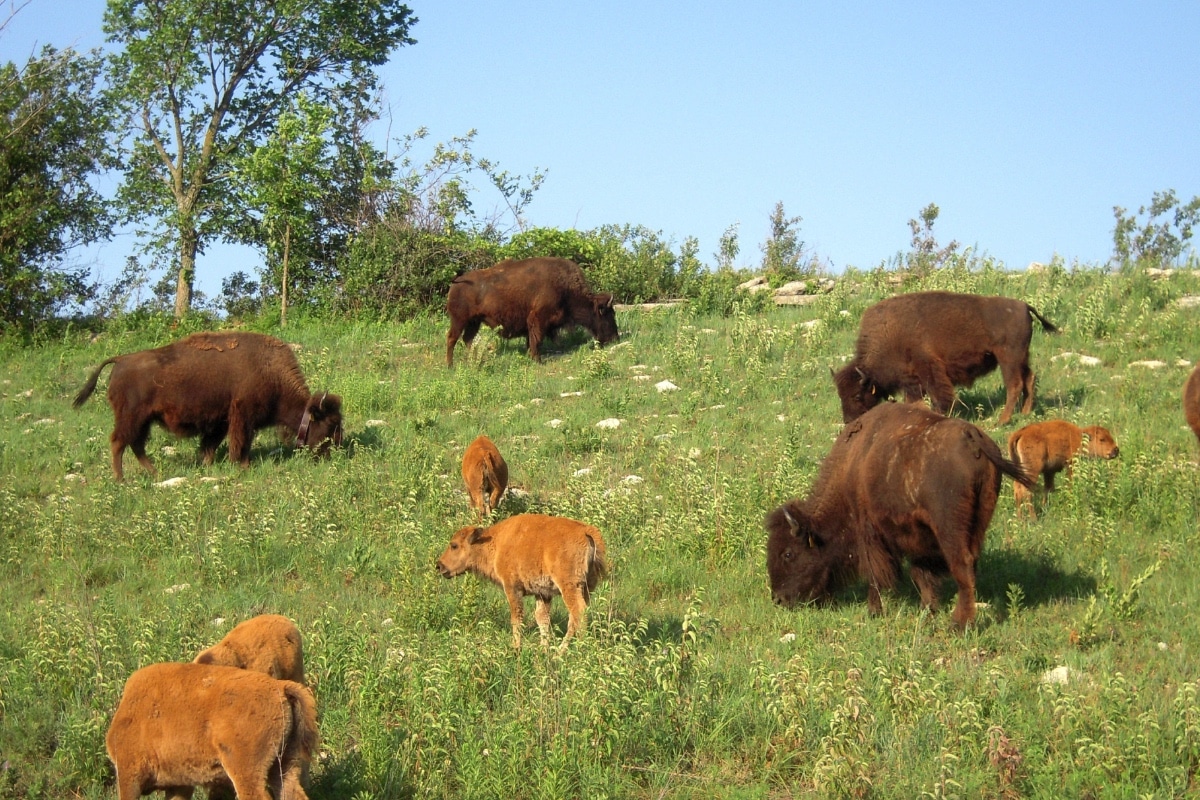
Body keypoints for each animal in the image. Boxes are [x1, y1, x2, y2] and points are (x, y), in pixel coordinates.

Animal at [73, 331, 342, 479]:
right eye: (330, 425)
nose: (333, 454)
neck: (270, 371)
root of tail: (120, 360)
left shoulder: (222, 421)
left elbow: (212, 444)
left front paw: (209, 465)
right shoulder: (242, 416)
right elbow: (240, 442)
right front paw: (241, 466)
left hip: (144, 421)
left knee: (136, 445)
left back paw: (155, 473)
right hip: (132, 417)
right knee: (119, 442)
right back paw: (121, 479)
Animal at [445, 257, 618, 365]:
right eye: (609, 314)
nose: (615, 338)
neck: (564, 287)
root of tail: (457, 282)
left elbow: (531, 341)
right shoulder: (538, 320)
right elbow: (537, 340)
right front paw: (538, 360)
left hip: (474, 322)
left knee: (467, 339)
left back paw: (470, 361)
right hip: (459, 320)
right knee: (452, 339)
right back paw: (450, 366)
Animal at [766, 403, 1033, 629]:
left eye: (788, 553)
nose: (778, 600)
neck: (852, 466)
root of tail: (972, 438)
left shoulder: (870, 534)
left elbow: (876, 574)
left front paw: (874, 611)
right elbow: (921, 573)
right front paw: (928, 609)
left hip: (950, 529)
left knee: (963, 564)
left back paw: (959, 624)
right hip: (979, 521)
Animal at [833, 291, 1057, 424]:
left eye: (857, 395)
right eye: (841, 396)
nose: (850, 421)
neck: (889, 333)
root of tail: (1024, 306)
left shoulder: (929, 368)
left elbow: (939, 395)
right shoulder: (911, 380)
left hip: (1008, 358)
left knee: (1015, 385)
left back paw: (1002, 420)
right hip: (1021, 357)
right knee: (1029, 378)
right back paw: (1025, 413)